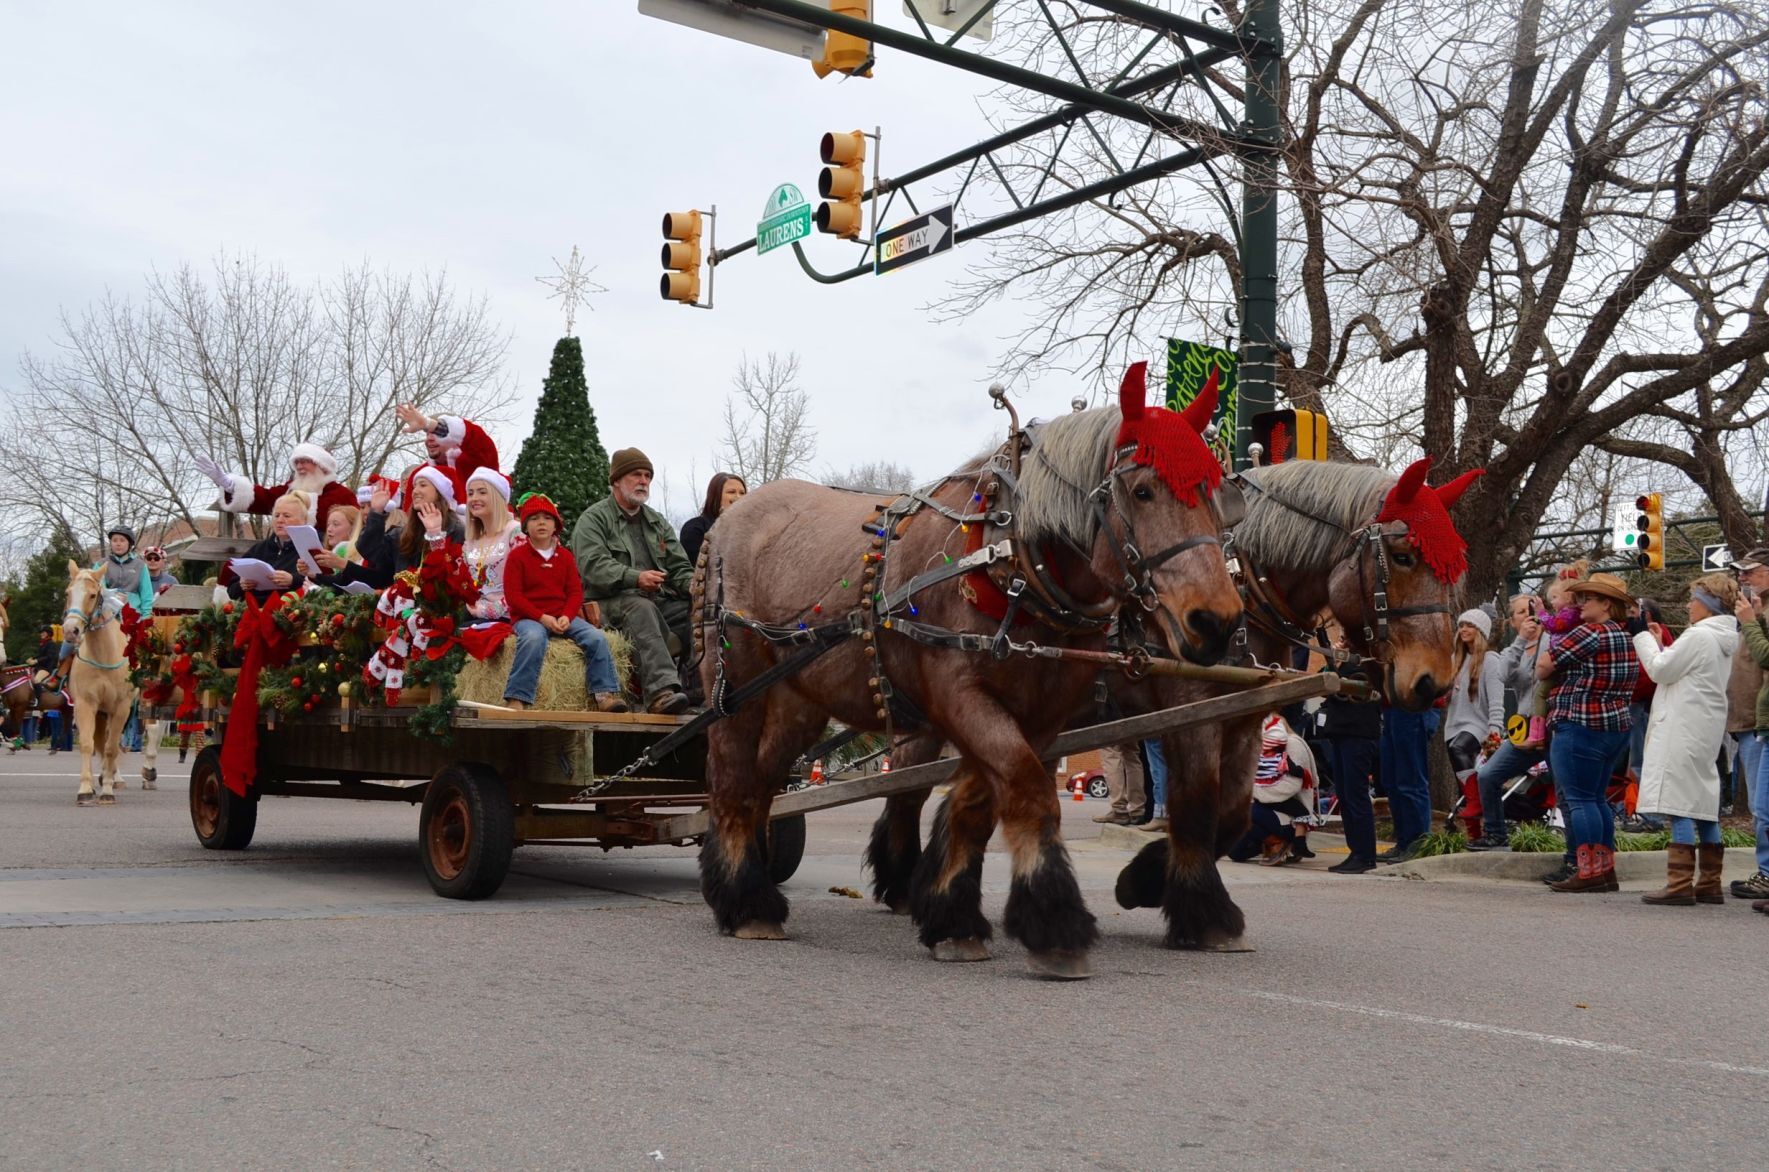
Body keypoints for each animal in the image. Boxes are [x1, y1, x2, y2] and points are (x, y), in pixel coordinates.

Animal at [689, 367, 1245, 982]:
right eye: (1143, 490)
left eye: (1217, 497)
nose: (1217, 621)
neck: (1008, 555)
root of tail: (731, 519)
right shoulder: (961, 693)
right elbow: (1030, 792)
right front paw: (1055, 923)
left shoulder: (1043, 713)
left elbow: (980, 804)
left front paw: (951, 913)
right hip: (735, 684)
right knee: (732, 778)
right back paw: (747, 901)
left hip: (799, 699)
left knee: (766, 784)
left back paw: (754, 880)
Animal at [863, 456, 1471, 954]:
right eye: (1403, 555)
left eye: (1454, 570)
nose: (1432, 684)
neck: (1240, 585)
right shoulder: (1191, 711)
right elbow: (1198, 805)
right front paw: (1200, 913)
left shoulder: (1245, 718)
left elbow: (1231, 816)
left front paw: (1147, 880)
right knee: (910, 789)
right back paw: (909, 884)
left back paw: (921, 887)